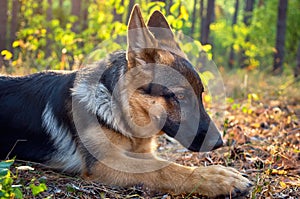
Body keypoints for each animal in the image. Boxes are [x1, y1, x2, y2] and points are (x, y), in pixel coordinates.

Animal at [0, 5, 252, 197]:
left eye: (200, 94)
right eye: (180, 96)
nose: (219, 142)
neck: (118, 111)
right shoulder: (106, 163)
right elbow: (164, 168)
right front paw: (217, 177)